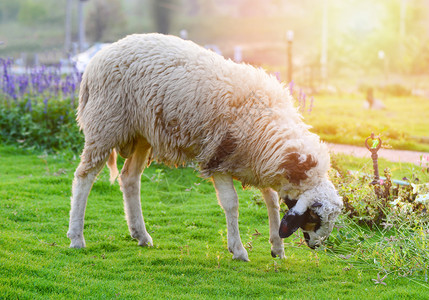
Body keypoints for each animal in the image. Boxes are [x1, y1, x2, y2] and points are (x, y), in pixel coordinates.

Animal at [66, 34, 342, 262]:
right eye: (314, 217)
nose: (316, 246)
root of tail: (97, 58)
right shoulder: (218, 159)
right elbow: (231, 204)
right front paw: (238, 249)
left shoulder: (258, 162)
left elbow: (272, 201)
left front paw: (277, 247)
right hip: (105, 125)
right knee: (84, 176)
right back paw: (77, 237)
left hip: (142, 134)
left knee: (129, 178)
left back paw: (141, 235)